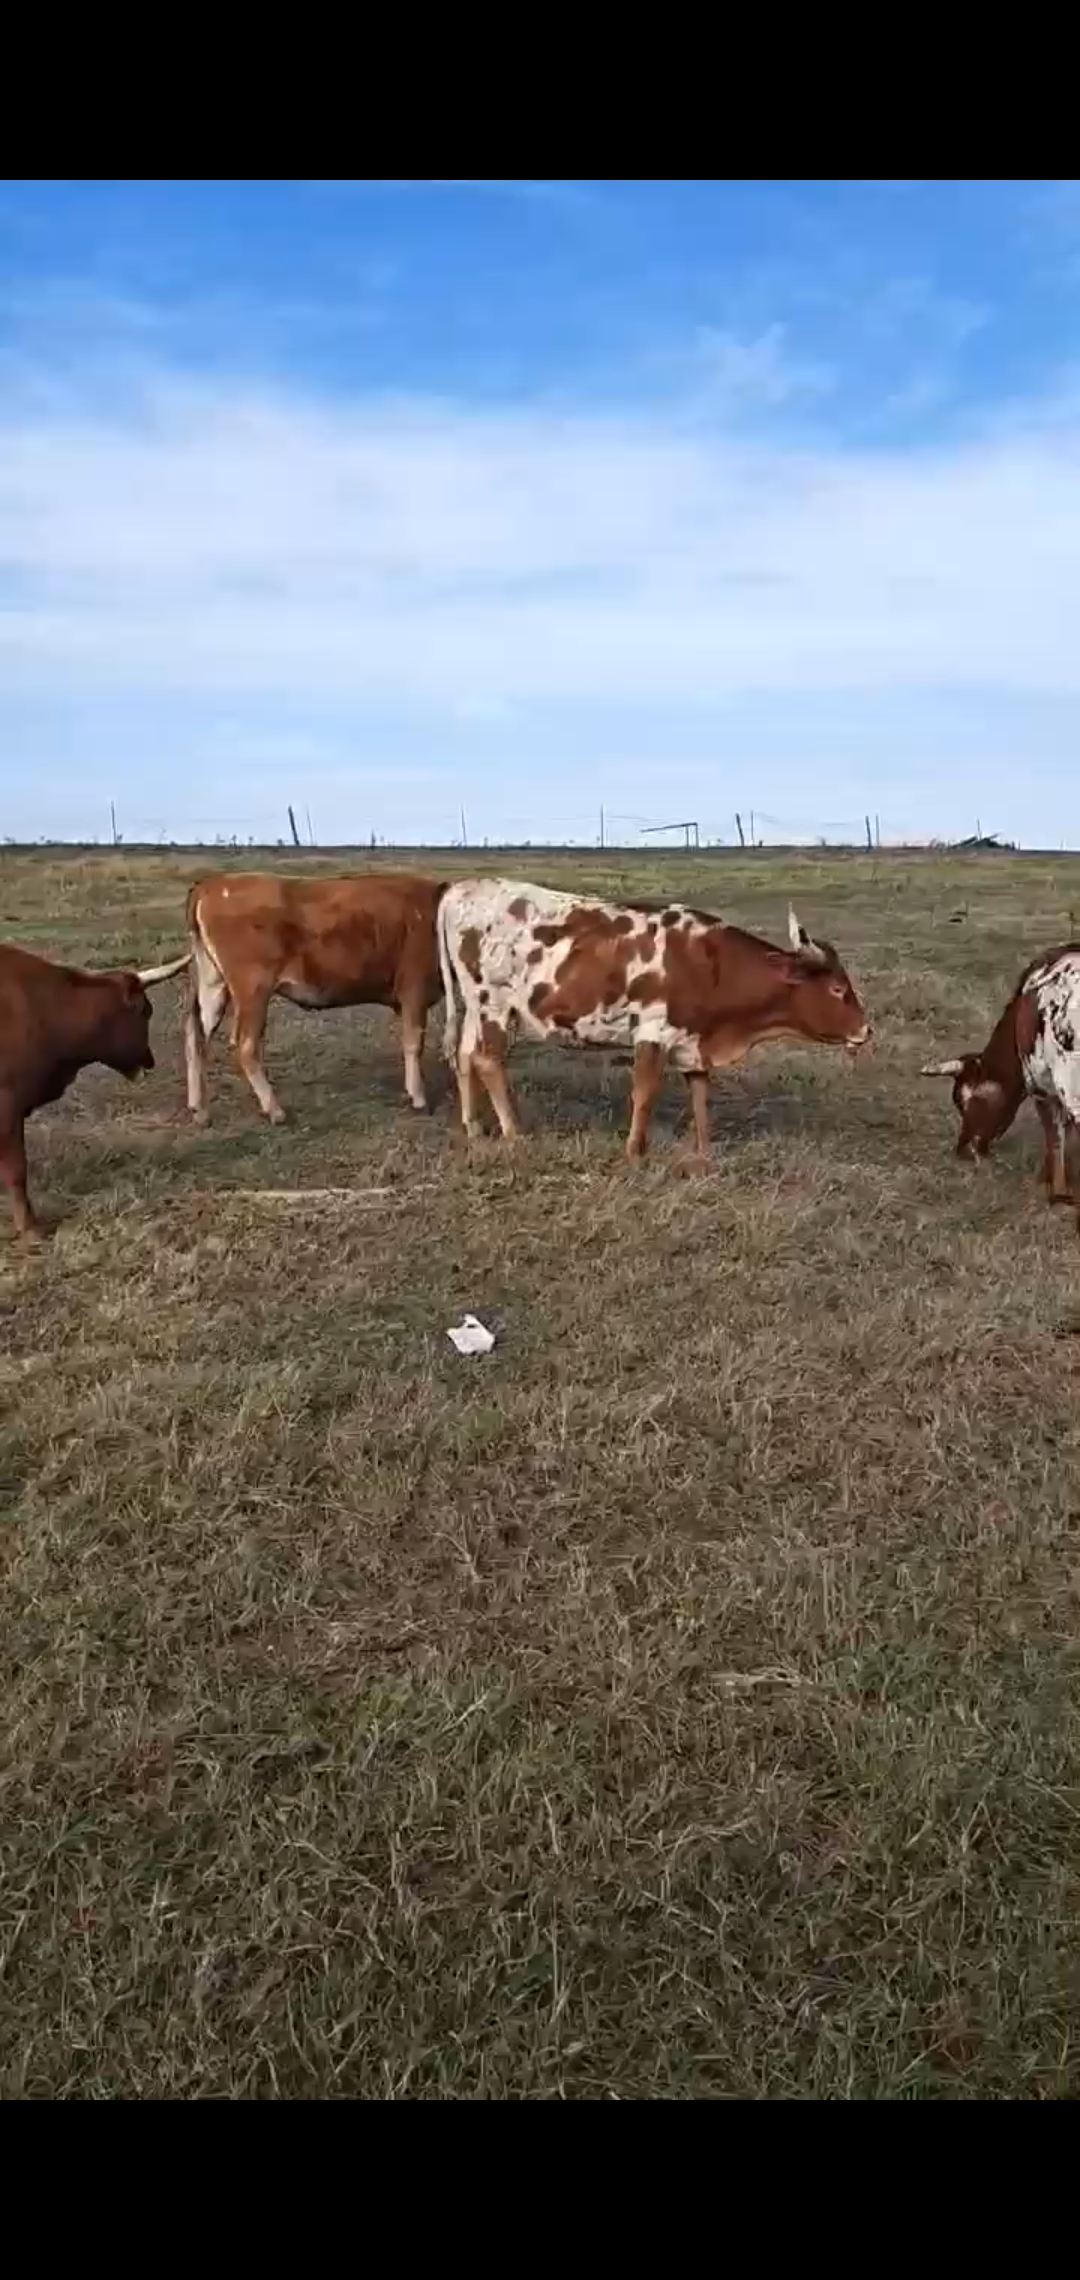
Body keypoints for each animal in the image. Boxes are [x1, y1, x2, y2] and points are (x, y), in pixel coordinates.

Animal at [182, 871, 447, 1126]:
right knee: (245, 1045)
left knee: (196, 1037)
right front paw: (419, 1099)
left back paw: (200, 1111)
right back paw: (275, 1110)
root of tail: (211, 884)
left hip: (213, 985)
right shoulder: (414, 990)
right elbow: (414, 1044)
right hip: (253, 990)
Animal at [437, 880, 871, 1161]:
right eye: (837, 988)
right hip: (493, 1004)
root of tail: (462, 888)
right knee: (487, 1059)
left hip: (476, 1008)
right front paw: (634, 1152)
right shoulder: (653, 1033)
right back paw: (513, 1132)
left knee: (464, 1056)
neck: (708, 963)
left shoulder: (692, 1039)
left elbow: (700, 1094)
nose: (866, 1030)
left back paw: (474, 1127)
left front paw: (703, 1151)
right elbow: (644, 1094)